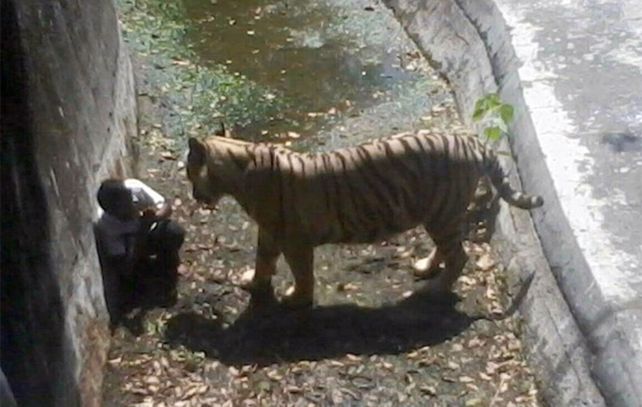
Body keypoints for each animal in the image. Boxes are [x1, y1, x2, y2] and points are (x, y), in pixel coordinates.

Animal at [186, 130, 543, 308]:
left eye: (189, 171)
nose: (192, 195)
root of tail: (472, 141)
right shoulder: (270, 232)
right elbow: (263, 259)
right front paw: (254, 282)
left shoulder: (294, 240)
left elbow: (302, 273)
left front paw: (296, 299)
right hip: (438, 215)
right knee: (448, 249)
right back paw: (426, 268)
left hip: (443, 213)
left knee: (460, 255)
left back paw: (435, 289)